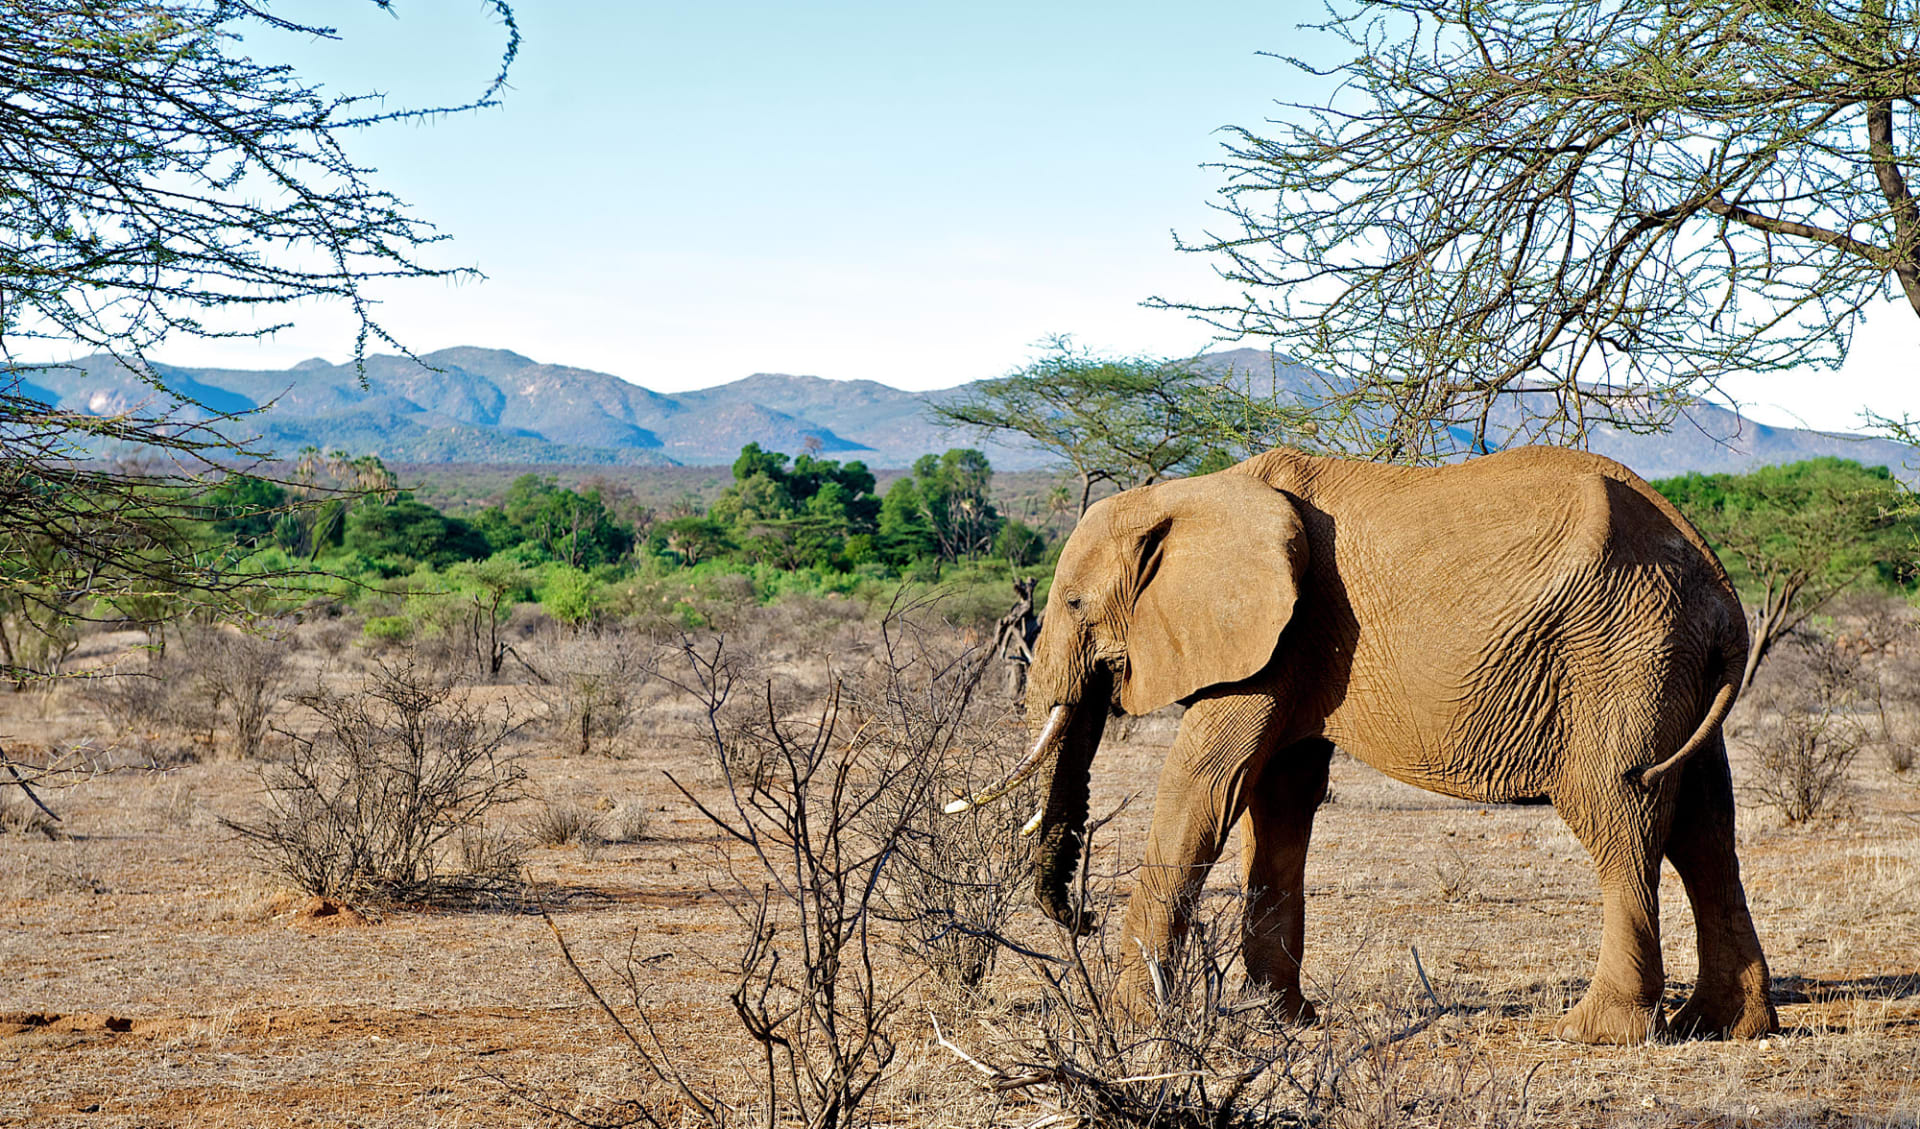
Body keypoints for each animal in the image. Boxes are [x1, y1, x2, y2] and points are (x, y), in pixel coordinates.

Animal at [952, 445, 1774, 1044]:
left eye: (1073, 603)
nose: (1079, 919)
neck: (1196, 492)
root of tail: (1725, 593)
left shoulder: (1278, 637)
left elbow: (1204, 787)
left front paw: (1129, 1024)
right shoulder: (1297, 644)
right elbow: (1279, 801)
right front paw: (1280, 1021)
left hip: (1621, 654)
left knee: (1621, 813)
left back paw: (1594, 1033)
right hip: (1671, 660)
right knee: (1705, 828)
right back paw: (1727, 1025)